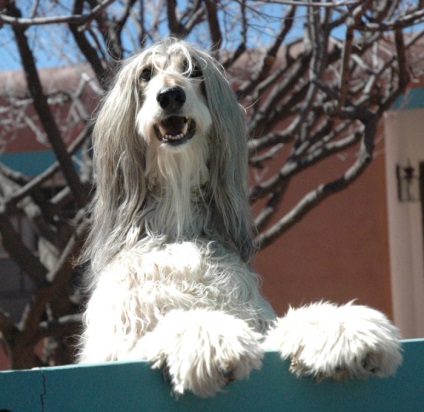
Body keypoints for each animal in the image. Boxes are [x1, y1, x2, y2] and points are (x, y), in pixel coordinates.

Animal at [78, 38, 400, 396]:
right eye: (146, 74)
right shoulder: (114, 342)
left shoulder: (252, 318)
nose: (171, 95)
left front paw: (341, 328)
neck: (177, 222)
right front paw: (206, 336)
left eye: (194, 70)